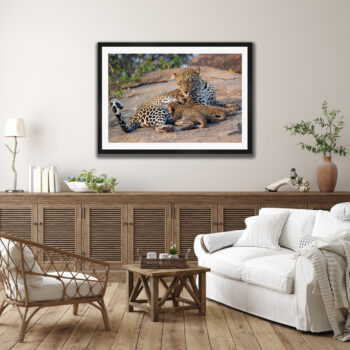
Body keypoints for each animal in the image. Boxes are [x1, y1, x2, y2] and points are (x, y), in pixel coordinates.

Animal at [110, 66, 238, 133]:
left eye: (190, 80)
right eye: (179, 83)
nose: (185, 92)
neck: (202, 87)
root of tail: (135, 116)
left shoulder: (212, 100)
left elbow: (221, 103)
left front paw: (234, 106)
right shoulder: (199, 103)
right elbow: (215, 107)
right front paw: (230, 111)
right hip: (158, 110)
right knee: (158, 127)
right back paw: (170, 127)